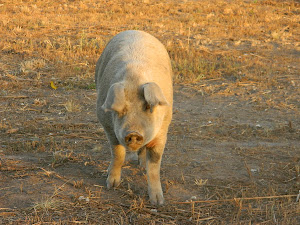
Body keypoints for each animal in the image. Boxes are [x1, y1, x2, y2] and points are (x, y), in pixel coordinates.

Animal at [95, 29, 172, 206]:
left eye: (148, 107)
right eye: (122, 110)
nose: (134, 133)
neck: (135, 79)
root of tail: (136, 31)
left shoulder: (162, 131)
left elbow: (154, 166)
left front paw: (158, 202)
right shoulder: (109, 127)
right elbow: (118, 154)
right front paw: (111, 185)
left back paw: (141, 165)